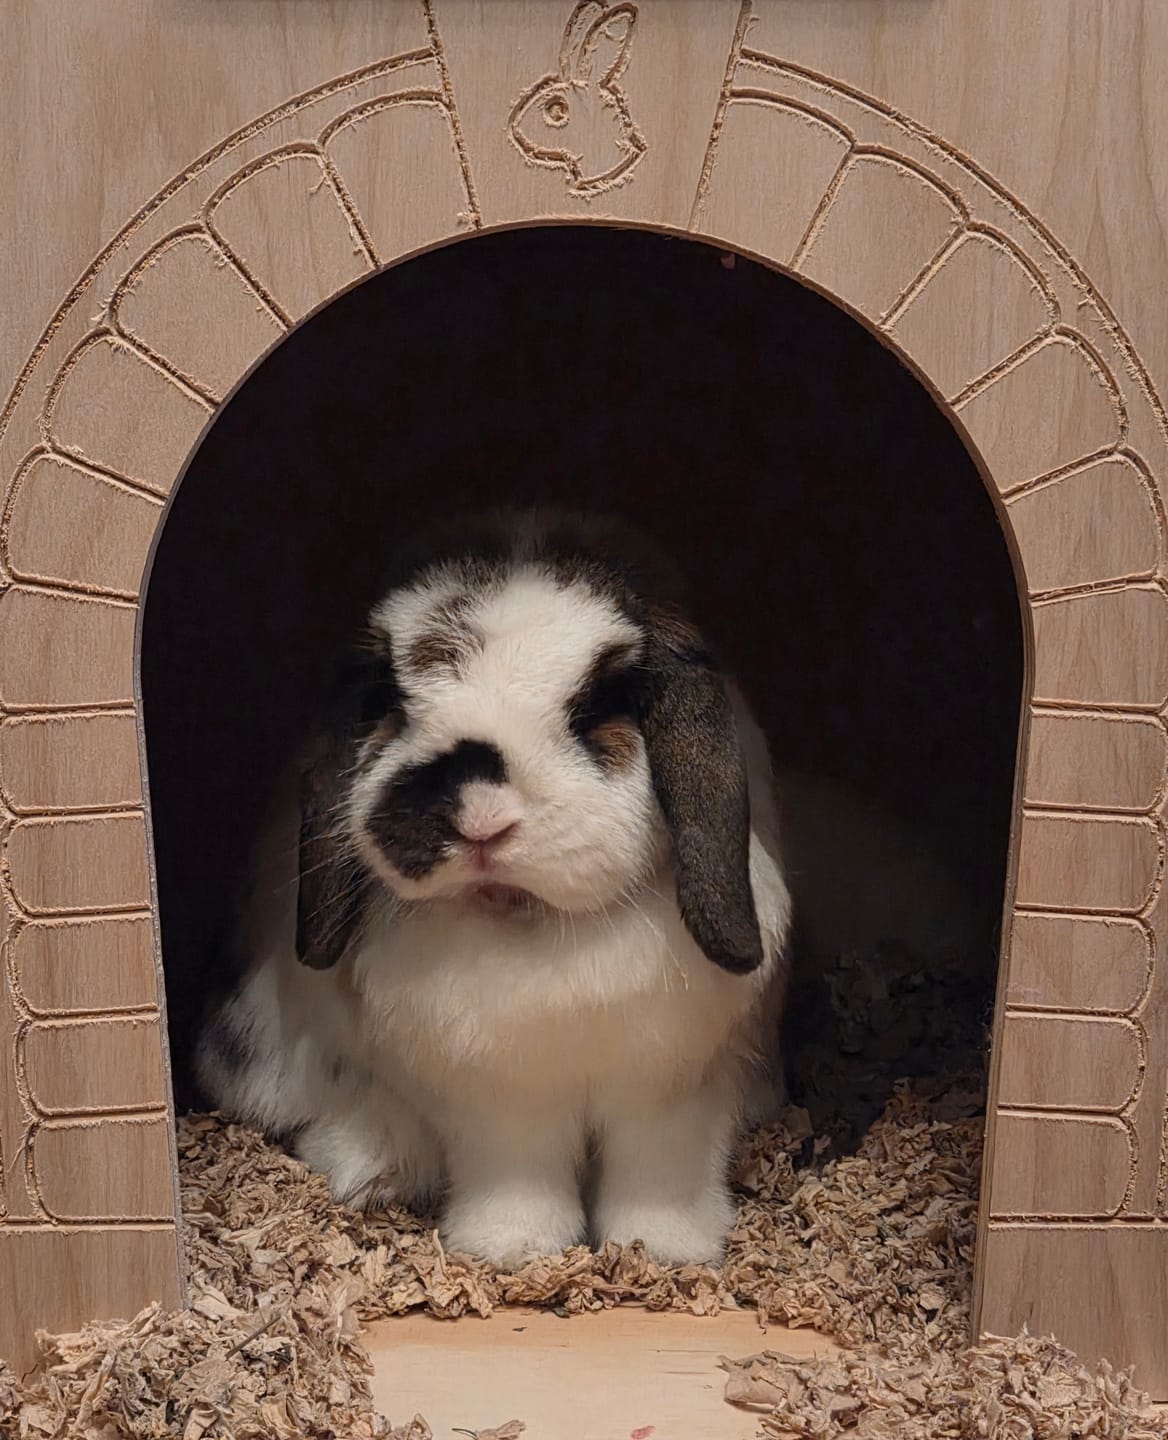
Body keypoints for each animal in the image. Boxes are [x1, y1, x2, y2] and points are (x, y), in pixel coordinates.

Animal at [197, 509, 791, 1271]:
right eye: (394, 704)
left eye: (596, 709)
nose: (479, 817)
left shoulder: (672, 1095)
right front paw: (513, 1250)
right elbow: (517, 1177)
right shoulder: (500, 1108)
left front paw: (666, 1251)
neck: (532, 929)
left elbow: (658, 1176)